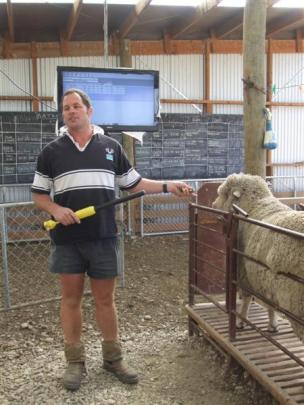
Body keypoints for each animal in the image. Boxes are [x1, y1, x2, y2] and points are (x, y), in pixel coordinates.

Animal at [213, 172, 304, 340]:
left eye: (224, 193)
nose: (214, 205)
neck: (254, 204)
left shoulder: (244, 272)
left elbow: (247, 298)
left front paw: (241, 321)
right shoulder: (265, 278)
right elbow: (270, 305)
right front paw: (273, 325)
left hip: (297, 302)